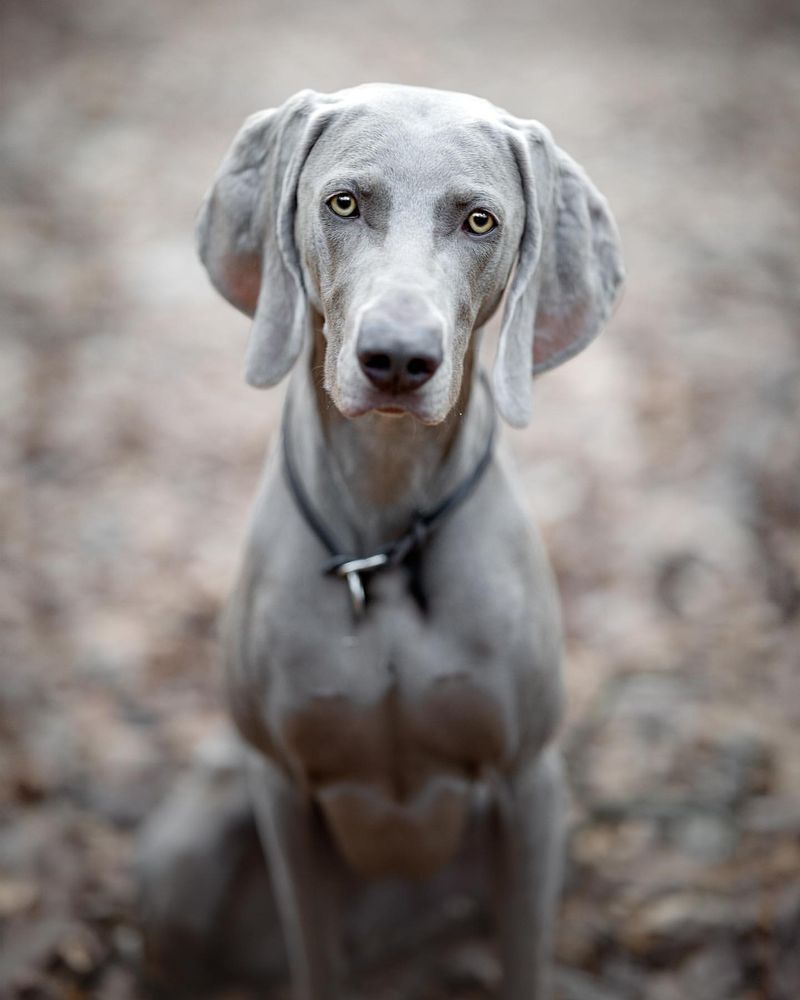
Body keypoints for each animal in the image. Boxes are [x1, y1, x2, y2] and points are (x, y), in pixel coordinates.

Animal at [141, 82, 620, 996]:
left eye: (480, 221)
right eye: (343, 203)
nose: (398, 358)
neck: (385, 538)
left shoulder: (530, 784)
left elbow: (525, 959)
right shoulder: (284, 791)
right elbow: (315, 953)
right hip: (192, 839)